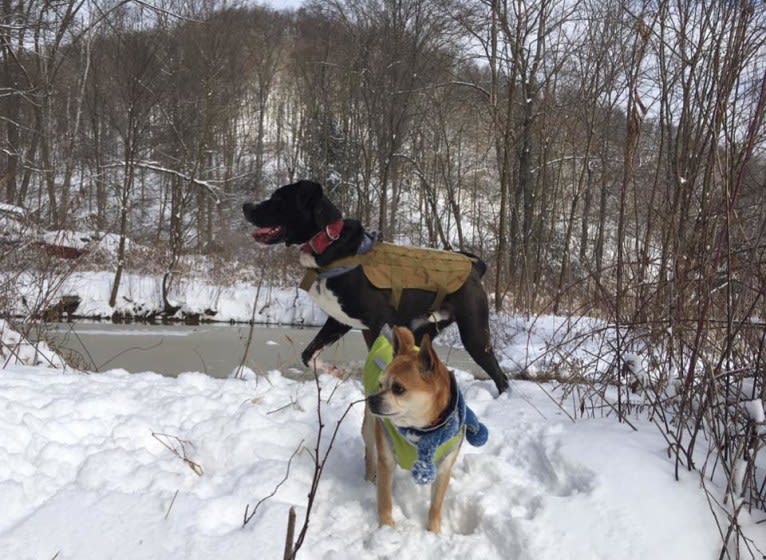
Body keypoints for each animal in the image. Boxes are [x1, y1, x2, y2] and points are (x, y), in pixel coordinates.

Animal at [244, 179, 510, 394]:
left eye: (280, 198)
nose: (246, 206)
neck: (329, 244)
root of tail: (475, 267)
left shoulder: (373, 324)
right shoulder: (339, 321)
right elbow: (308, 354)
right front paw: (336, 372)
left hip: (475, 334)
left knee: (501, 377)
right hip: (421, 331)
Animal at [364, 328, 488, 532]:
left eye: (398, 388)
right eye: (380, 384)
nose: (372, 399)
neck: (423, 430)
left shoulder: (444, 468)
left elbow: (436, 505)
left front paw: (434, 532)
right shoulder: (386, 461)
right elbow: (385, 500)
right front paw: (387, 528)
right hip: (369, 427)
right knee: (369, 450)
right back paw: (368, 477)